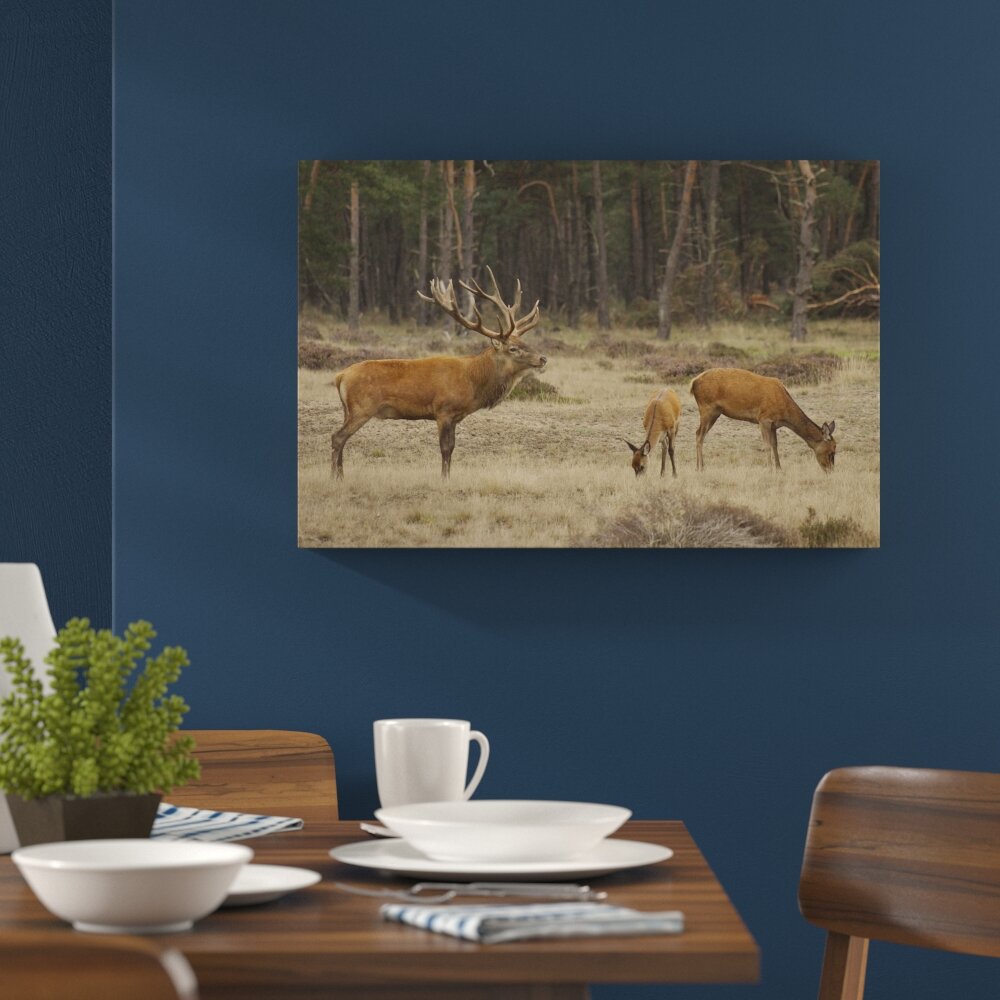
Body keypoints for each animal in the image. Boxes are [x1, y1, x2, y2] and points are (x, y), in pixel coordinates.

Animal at [330, 268, 548, 478]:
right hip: (362, 408)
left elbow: (452, 448)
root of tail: (340, 376)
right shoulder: (443, 410)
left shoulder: (455, 416)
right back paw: (335, 477)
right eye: (513, 348)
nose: (542, 358)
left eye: (524, 342)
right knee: (337, 437)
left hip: (348, 410)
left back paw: (340, 475)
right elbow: (445, 448)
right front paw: (444, 479)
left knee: (340, 438)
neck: (473, 383)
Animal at [688, 368, 836, 472]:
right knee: (699, 434)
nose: (830, 470)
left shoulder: (774, 424)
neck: (784, 411)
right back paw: (700, 468)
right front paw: (769, 469)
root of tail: (693, 382)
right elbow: (767, 445)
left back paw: (699, 466)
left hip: (715, 412)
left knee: (698, 434)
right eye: (832, 451)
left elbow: (775, 445)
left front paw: (779, 468)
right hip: (707, 408)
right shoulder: (764, 419)